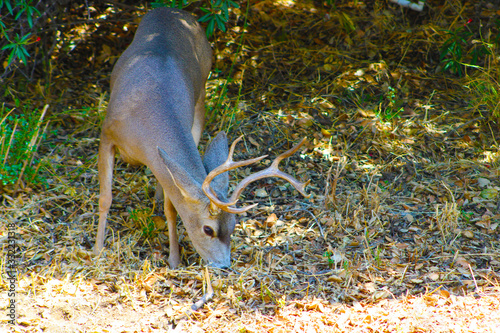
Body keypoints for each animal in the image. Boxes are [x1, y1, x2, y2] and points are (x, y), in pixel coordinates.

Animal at [92, 7, 306, 268]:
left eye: (233, 226)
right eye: (208, 229)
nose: (224, 264)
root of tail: (174, 10)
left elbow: (172, 209)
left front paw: (174, 259)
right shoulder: (107, 134)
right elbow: (105, 198)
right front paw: (97, 250)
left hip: (201, 94)